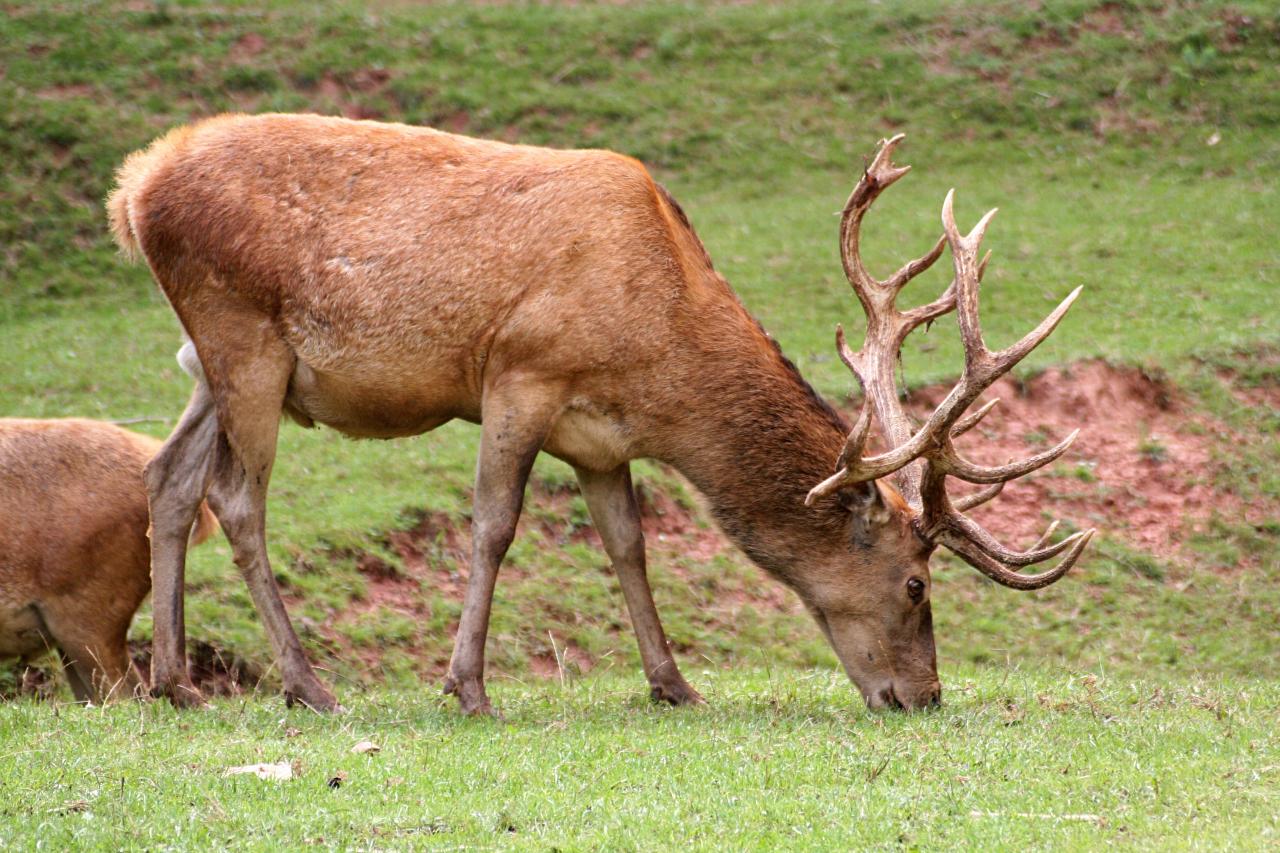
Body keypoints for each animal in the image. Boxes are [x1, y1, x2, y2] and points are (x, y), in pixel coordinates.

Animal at [107, 114, 1090, 712]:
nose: (923, 694)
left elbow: (627, 541)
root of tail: (133, 189)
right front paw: (467, 687)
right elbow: (495, 524)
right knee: (237, 498)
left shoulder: (599, 437)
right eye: (918, 583)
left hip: (212, 361)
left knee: (168, 476)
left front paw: (674, 683)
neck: (659, 359)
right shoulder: (520, 372)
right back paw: (306, 683)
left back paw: (174, 681)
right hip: (244, 336)